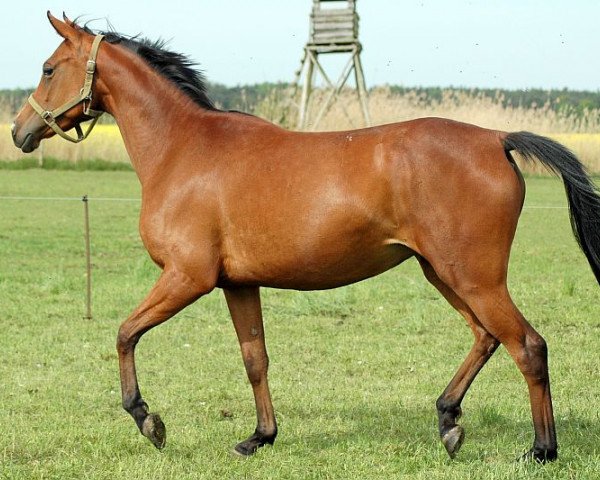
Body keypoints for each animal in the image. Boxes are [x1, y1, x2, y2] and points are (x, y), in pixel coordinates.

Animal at [10, 11, 600, 462]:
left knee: (527, 346)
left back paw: (541, 450)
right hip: (443, 273)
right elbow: (255, 359)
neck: (183, 149)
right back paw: (448, 420)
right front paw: (259, 437)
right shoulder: (236, 284)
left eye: (47, 68)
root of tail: (497, 138)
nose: (20, 131)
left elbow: (124, 333)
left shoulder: (186, 277)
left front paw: (148, 420)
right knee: (486, 337)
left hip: (474, 277)